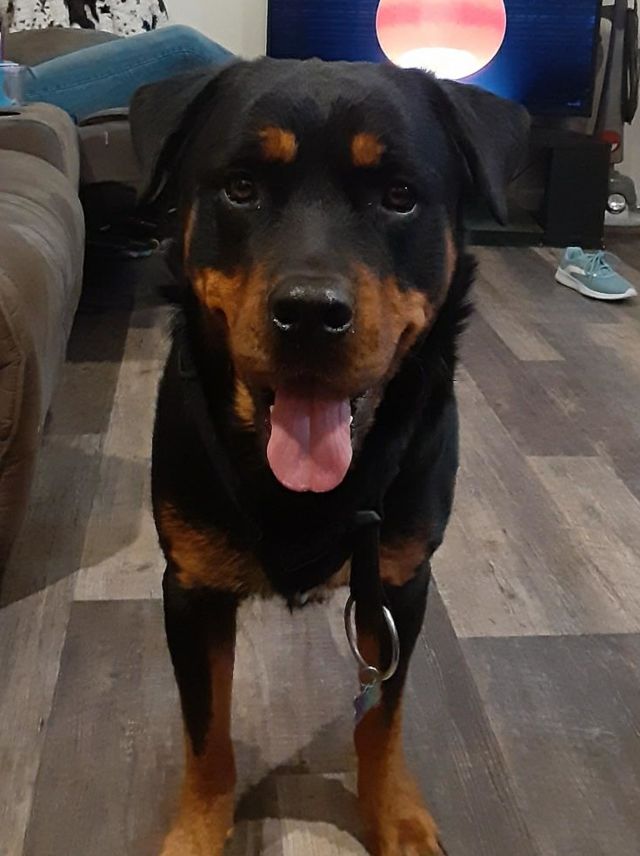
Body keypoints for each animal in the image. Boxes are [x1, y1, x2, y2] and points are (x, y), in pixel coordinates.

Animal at [131, 57, 529, 856]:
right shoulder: (189, 590)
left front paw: (395, 817)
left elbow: (382, 720)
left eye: (400, 196)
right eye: (241, 186)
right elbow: (206, 734)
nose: (311, 312)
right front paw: (197, 830)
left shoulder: (399, 583)